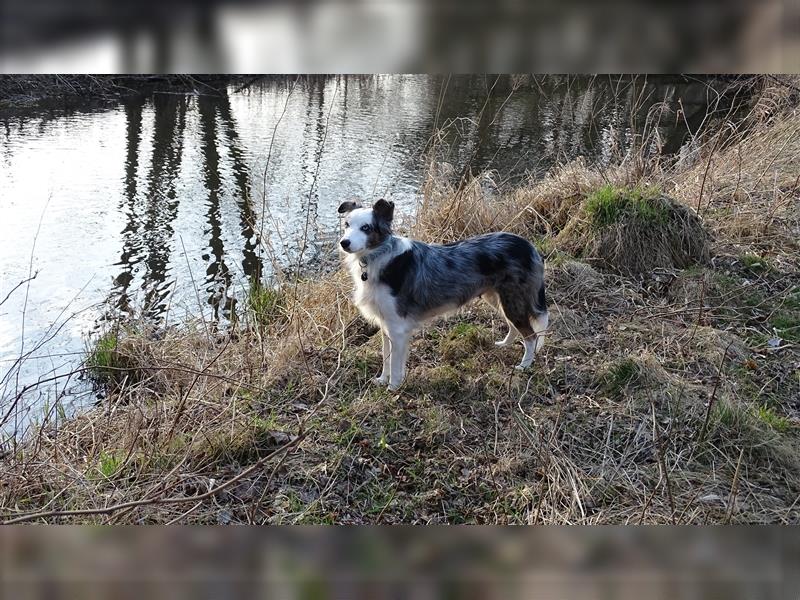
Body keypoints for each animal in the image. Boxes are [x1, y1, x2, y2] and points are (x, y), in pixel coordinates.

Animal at [338, 199, 552, 392]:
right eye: (346, 225)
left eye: (366, 228)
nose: (344, 243)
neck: (378, 257)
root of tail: (527, 245)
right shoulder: (385, 325)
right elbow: (386, 357)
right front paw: (383, 380)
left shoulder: (397, 328)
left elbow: (395, 364)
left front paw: (393, 389)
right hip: (498, 298)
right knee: (514, 326)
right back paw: (505, 345)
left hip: (513, 299)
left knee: (531, 336)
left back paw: (525, 366)